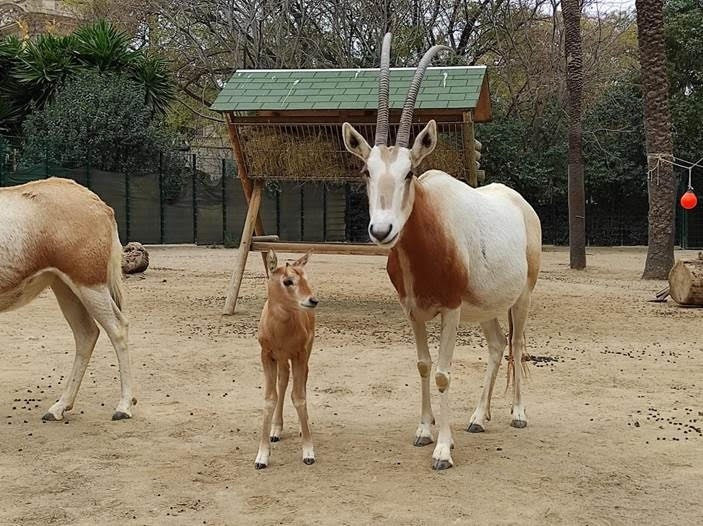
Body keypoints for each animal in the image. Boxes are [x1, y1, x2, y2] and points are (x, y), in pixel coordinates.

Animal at [0, 179, 135, 422]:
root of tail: (100, 206)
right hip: (65, 288)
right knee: (86, 333)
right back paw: (59, 408)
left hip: (88, 284)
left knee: (117, 328)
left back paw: (123, 407)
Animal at [254, 252, 318, 470]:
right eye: (287, 280)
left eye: (305, 278)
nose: (312, 300)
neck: (280, 332)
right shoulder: (267, 354)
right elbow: (269, 398)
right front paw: (261, 457)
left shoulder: (299, 354)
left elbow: (298, 397)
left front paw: (308, 452)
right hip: (282, 359)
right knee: (282, 381)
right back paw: (276, 430)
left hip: (305, 351)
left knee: (302, 380)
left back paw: (300, 426)